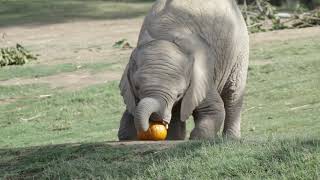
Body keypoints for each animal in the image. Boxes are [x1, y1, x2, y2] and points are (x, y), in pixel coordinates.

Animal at [116, 0, 249, 141]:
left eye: (179, 94)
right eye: (137, 88)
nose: (154, 120)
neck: (164, 36)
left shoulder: (201, 73)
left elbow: (213, 109)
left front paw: (197, 138)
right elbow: (128, 121)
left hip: (239, 49)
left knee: (233, 94)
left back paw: (231, 138)